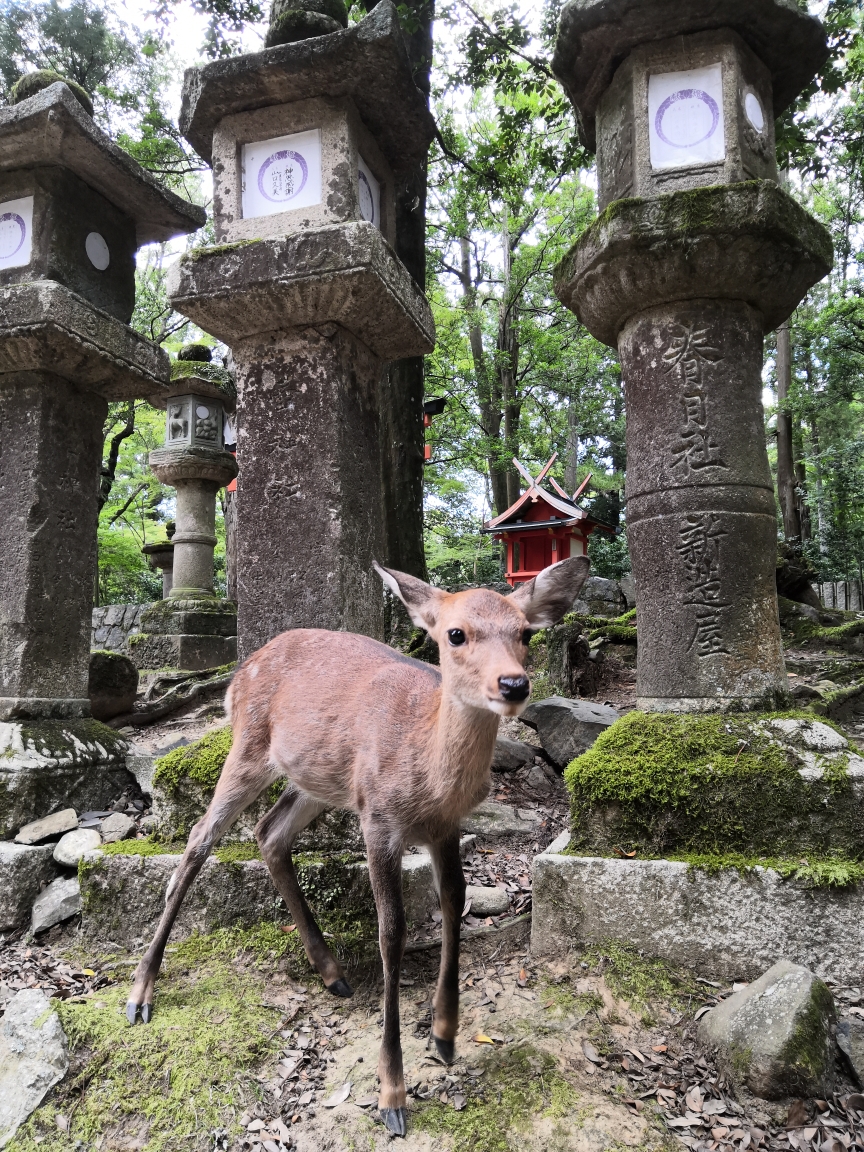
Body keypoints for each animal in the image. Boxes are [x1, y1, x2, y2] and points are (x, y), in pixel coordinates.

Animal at [124, 555, 594, 1133]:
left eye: (525, 632)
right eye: (455, 633)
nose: (513, 684)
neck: (427, 774)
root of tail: (237, 674)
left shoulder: (445, 826)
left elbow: (454, 902)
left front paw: (445, 1035)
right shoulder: (379, 818)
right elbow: (391, 932)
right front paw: (392, 1093)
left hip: (316, 779)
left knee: (269, 833)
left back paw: (331, 973)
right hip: (249, 747)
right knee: (199, 838)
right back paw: (140, 992)